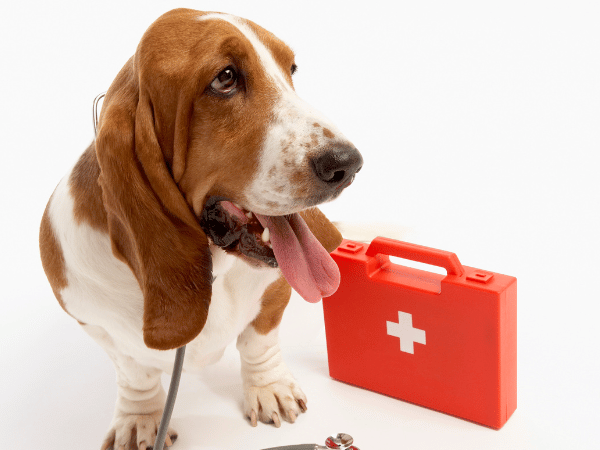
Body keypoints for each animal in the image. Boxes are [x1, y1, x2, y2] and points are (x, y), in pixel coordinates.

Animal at [41, 7, 366, 450]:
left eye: (291, 68)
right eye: (225, 78)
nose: (348, 165)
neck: (215, 264)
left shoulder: (275, 293)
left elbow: (259, 338)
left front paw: (269, 389)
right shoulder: (93, 321)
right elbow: (135, 369)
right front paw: (140, 418)